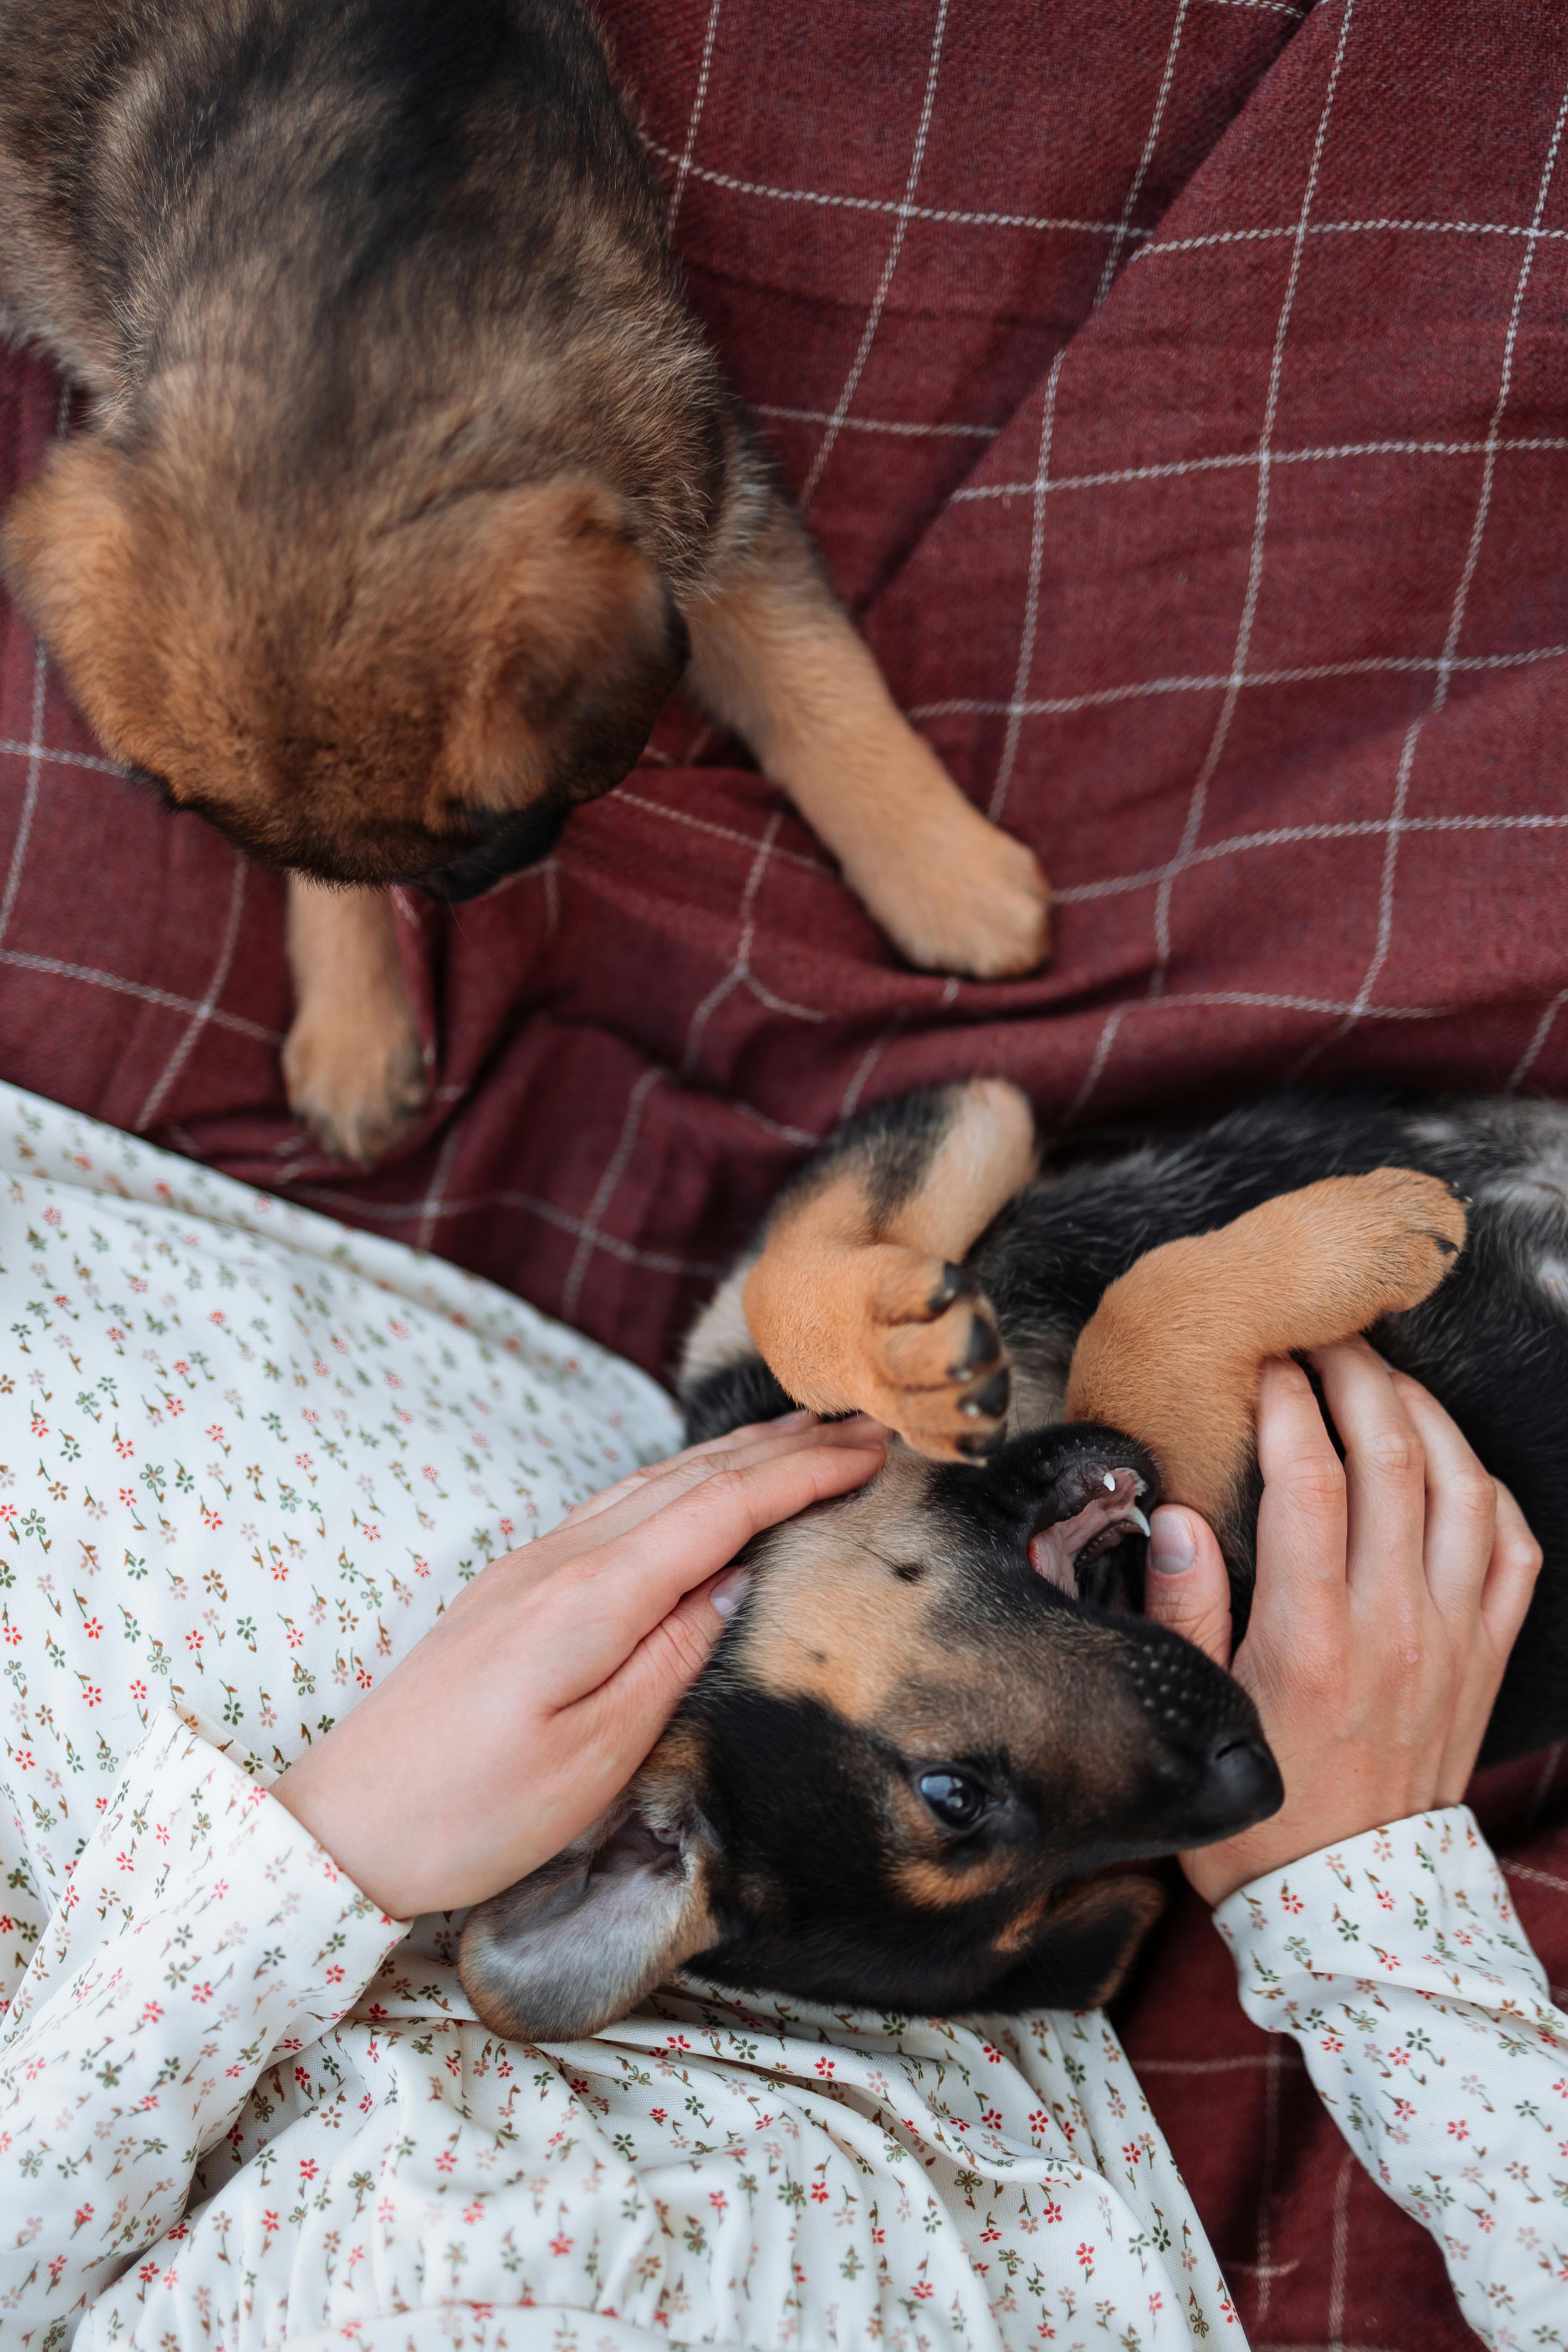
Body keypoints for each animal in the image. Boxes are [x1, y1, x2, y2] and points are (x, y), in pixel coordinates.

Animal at [3, 0, 1053, 1157]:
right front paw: (355, 1026)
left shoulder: (706, 484)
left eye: (494, 806)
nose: (471, 886)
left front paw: (948, 876)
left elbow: (815, 685)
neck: (358, 297)